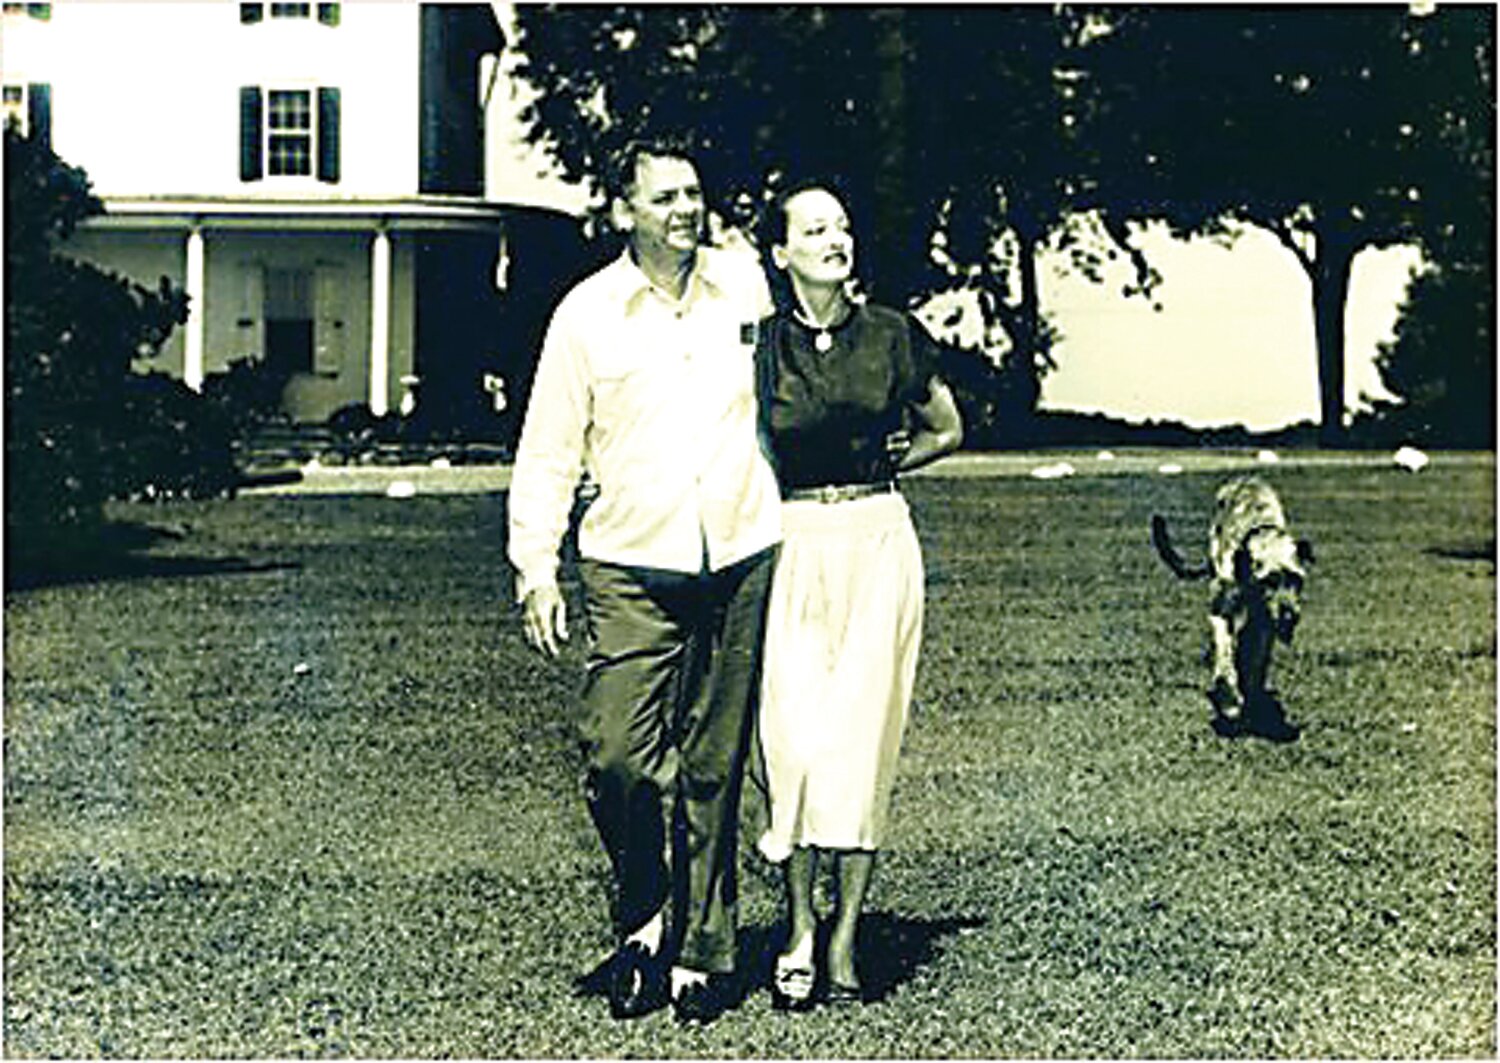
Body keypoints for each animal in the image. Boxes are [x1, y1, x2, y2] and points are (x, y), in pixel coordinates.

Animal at [1146, 476, 1314, 734]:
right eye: (1269, 581)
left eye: (1296, 579)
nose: (1289, 617)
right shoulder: (1221, 613)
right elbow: (1225, 656)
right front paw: (1230, 702)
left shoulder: (1263, 623)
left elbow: (1255, 657)